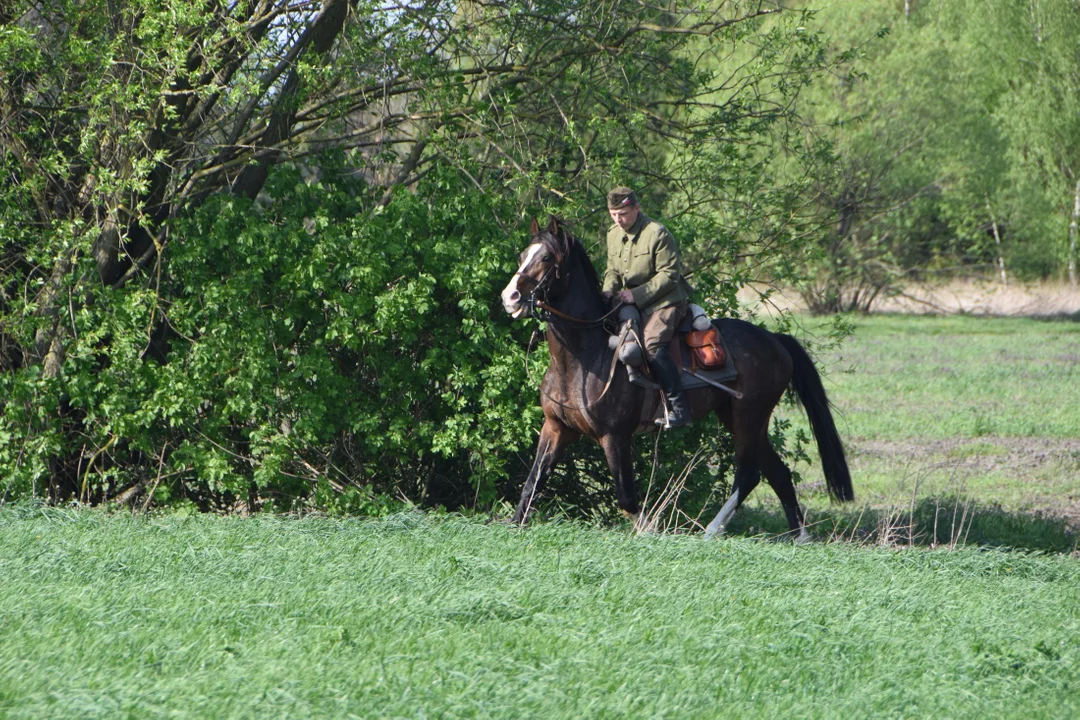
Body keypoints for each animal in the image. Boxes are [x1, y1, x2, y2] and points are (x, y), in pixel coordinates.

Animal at [498, 216, 851, 537]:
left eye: (546, 258)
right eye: (523, 255)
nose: (510, 297)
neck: (582, 358)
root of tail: (774, 339)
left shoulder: (615, 436)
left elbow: (626, 498)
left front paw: (650, 530)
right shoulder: (556, 428)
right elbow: (532, 482)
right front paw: (514, 523)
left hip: (748, 416)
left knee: (749, 474)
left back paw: (713, 529)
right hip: (740, 416)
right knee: (776, 472)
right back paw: (799, 535)